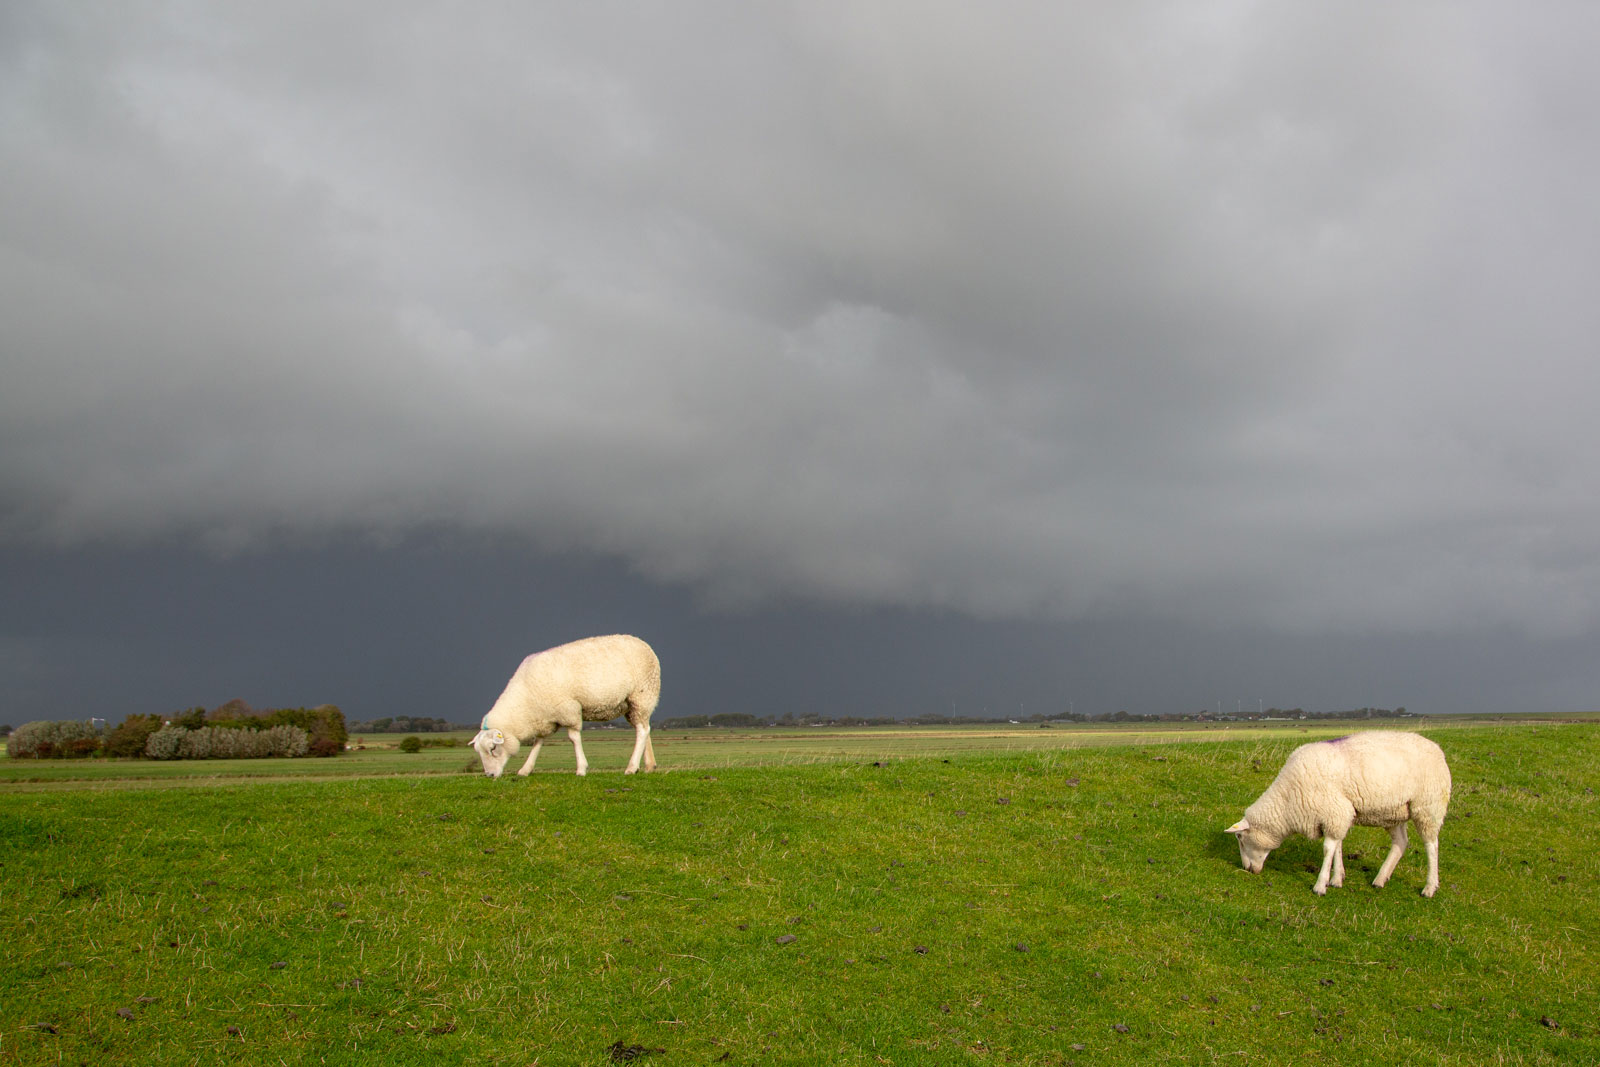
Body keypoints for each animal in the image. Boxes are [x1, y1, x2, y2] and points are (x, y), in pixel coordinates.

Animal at [471, 634, 661, 778]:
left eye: (493, 748)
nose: (489, 775)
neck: (525, 702)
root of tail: (644, 644)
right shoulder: (546, 717)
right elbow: (538, 742)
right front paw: (526, 769)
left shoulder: (569, 710)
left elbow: (573, 738)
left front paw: (581, 769)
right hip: (634, 705)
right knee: (644, 728)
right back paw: (649, 765)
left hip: (642, 695)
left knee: (642, 731)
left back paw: (631, 767)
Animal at [1225, 731, 1452, 897]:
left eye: (1240, 838)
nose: (1247, 869)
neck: (1288, 801)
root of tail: (1437, 749)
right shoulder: (1337, 814)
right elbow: (1338, 846)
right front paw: (1336, 878)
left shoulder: (1335, 811)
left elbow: (1328, 848)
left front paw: (1320, 885)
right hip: (1394, 812)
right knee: (1401, 843)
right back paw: (1380, 879)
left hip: (1428, 806)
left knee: (1431, 845)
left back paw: (1429, 887)